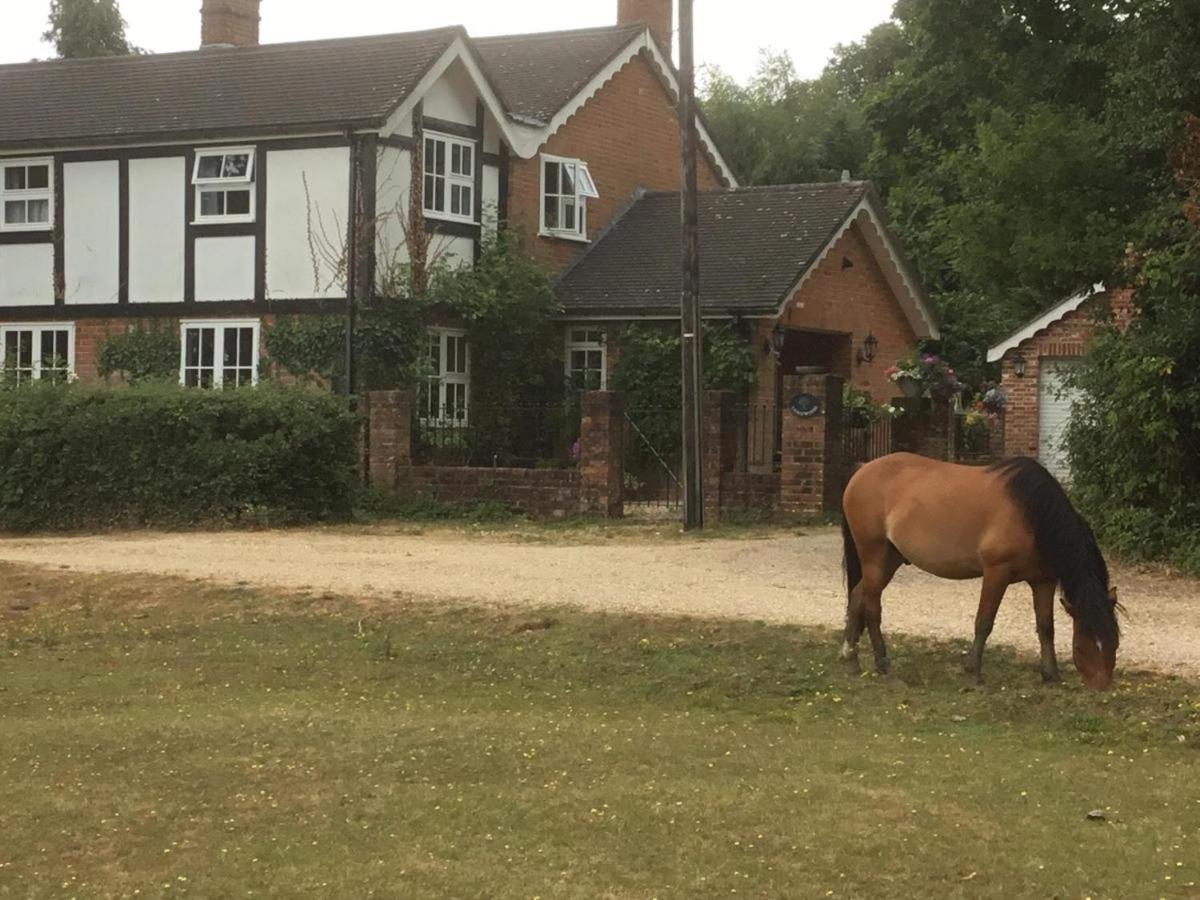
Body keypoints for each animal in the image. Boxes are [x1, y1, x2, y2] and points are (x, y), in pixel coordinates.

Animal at [840, 453, 1118, 696]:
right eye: (1081, 646)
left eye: (1114, 641)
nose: (1102, 686)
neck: (1032, 513)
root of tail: (861, 471)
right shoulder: (996, 573)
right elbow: (984, 622)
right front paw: (973, 673)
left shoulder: (1043, 580)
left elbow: (1046, 626)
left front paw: (1051, 675)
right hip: (874, 555)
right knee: (872, 607)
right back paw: (885, 667)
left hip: (891, 558)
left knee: (857, 597)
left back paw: (851, 660)